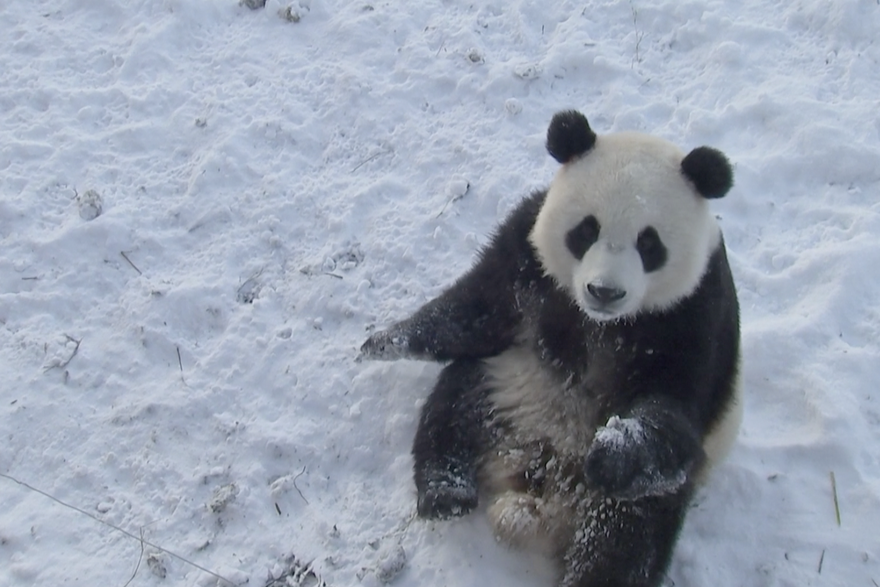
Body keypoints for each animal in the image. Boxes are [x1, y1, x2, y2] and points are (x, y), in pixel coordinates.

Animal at [360, 111, 740, 587]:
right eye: (587, 230)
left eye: (649, 243)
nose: (604, 291)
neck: (600, 325)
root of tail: (541, 481)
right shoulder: (526, 249)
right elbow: (478, 307)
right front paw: (385, 341)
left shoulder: (697, 311)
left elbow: (671, 406)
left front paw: (613, 452)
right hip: (505, 381)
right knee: (453, 410)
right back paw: (446, 492)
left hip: (644, 487)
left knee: (626, 530)